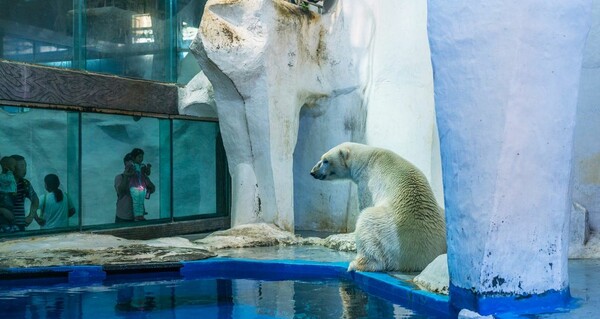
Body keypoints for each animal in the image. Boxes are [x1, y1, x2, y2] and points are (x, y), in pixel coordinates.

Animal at [310, 142, 446, 272]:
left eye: (325, 161)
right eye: (322, 159)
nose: (312, 172)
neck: (367, 158)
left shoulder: (366, 183)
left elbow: (365, 204)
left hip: (388, 230)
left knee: (367, 224)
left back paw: (358, 264)